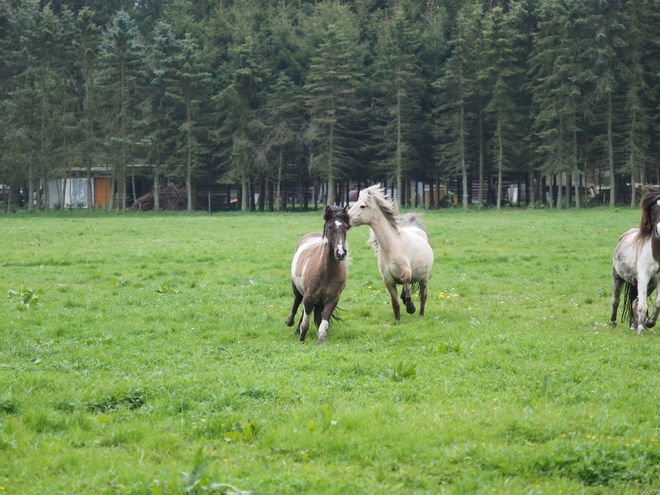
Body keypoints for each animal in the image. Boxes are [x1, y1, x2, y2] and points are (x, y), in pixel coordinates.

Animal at [286, 206, 354, 344]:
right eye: (330, 227)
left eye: (345, 227)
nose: (340, 253)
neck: (326, 273)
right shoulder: (308, 296)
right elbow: (306, 322)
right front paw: (302, 340)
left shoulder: (332, 299)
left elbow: (324, 324)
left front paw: (320, 342)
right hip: (297, 288)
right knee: (297, 301)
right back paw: (290, 322)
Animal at [346, 184, 434, 320]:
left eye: (362, 206)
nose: (345, 219)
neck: (391, 247)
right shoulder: (388, 280)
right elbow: (395, 303)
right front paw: (398, 319)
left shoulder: (406, 273)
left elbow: (407, 294)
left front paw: (410, 308)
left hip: (423, 278)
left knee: (423, 295)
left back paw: (421, 314)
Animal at [612, 187, 660, 338]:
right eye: (652, 208)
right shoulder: (643, 276)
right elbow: (643, 305)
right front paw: (641, 330)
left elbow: (657, 303)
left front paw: (649, 322)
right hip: (618, 277)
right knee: (616, 300)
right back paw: (613, 323)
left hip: (649, 284)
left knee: (635, 300)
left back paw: (635, 324)